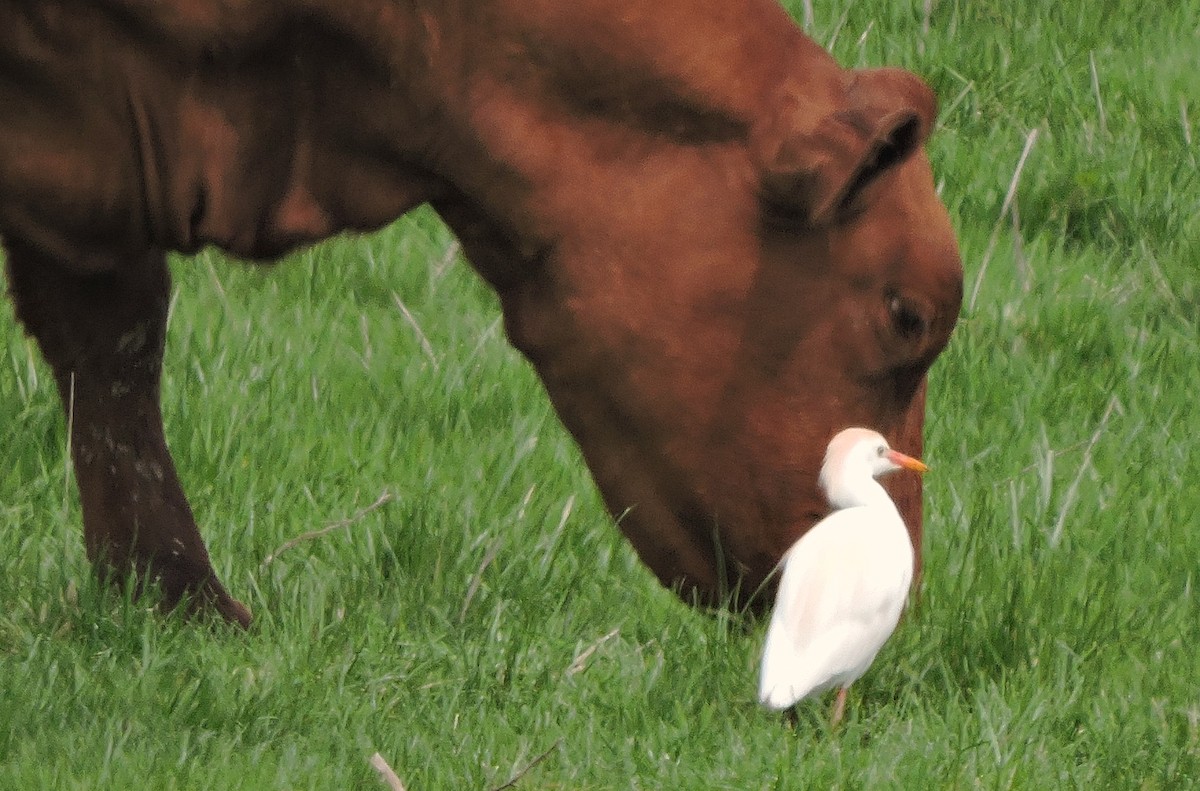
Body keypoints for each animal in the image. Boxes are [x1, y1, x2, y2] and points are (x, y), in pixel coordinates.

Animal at [0, 0, 963, 628]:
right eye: (907, 315)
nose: (895, 592)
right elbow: (118, 339)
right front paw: (173, 587)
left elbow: (110, 337)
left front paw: (162, 588)